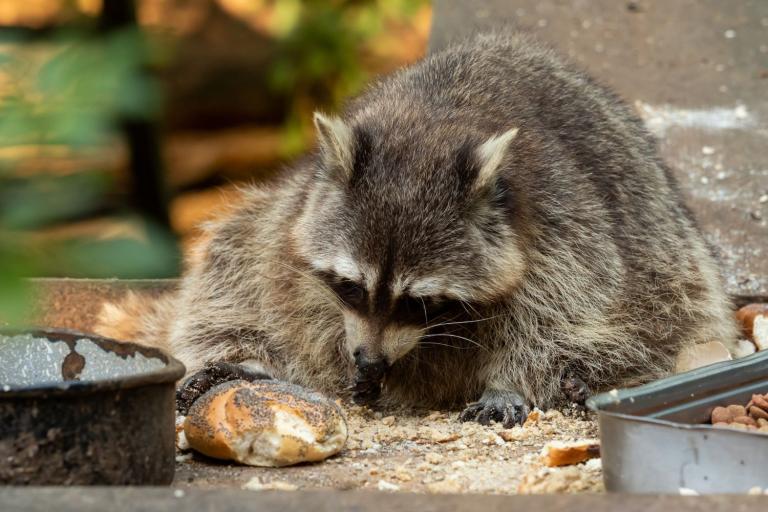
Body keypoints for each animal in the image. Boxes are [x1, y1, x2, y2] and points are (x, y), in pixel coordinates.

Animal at [96, 30, 736, 426]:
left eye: (421, 303)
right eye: (350, 287)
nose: (370, 364)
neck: (432, 123)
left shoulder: (566, 228)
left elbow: (566, 318)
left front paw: (512, 381)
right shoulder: (299, 215)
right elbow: (278, 286)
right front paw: (285, 357)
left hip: (669, 253)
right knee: (233, 254)